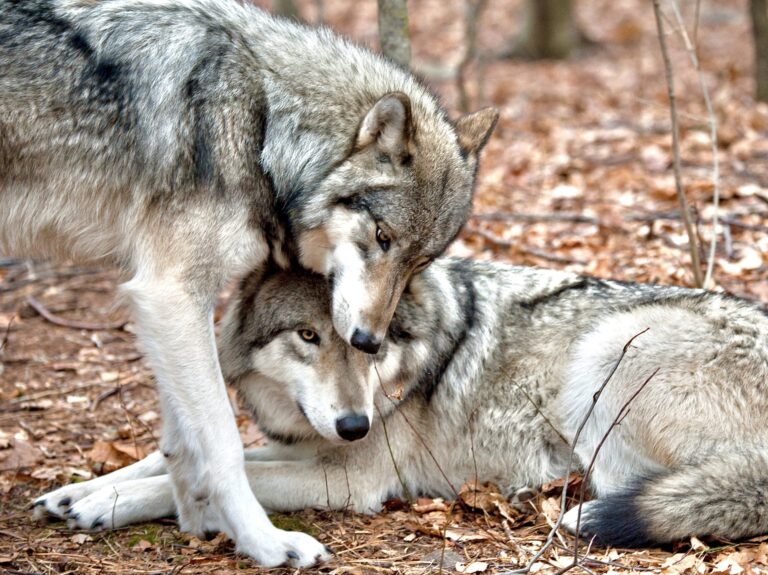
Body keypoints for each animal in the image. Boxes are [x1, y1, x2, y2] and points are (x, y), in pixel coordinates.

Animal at [1, 0, 498, 565]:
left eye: (422, 261)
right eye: (382, 236)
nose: (369, 340)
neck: (262, 124)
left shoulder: (172, 305)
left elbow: (179, 441)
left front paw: (187, 518)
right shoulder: (171, 292)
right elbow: (223, 441)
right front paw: (264, 541)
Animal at [35, 259, 768, 547]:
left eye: (371, 340)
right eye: (309, 336)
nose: (355, 424)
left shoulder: (350, 476)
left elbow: (213, 478)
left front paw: (104, 505)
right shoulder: (305, 445)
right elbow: (177, 462)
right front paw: (78, 491)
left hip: (604, 353)